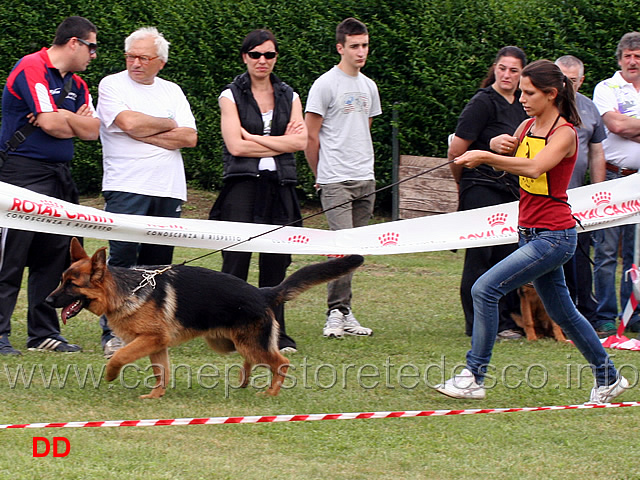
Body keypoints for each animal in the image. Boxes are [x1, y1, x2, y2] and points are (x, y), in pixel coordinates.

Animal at [47, 238, 362, 400]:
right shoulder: (157, 345)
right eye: (61, 280)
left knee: (280, 362)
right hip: (227, 343)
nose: (47, 301)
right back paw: (243, 382)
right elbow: (161, 372)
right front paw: (156, 395)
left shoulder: (150, 339)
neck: (127, 290)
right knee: (252, 360)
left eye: (71, 285)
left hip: (248, 343)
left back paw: (271, 392)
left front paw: (112, 374)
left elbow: (120, 356)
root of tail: (263, 293)